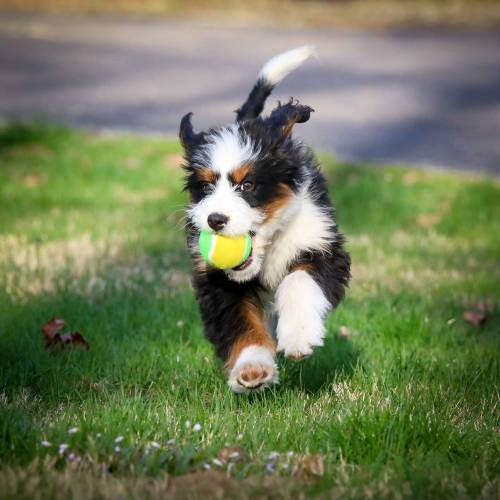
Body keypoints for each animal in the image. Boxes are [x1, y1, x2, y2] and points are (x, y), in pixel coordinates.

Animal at [181, 45, 352, 392]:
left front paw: (298, 335)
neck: (270, 245)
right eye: (205, 187)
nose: (215, 220)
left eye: (247, 185)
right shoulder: (217, 280)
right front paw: (252, 367)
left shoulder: (324, 247)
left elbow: (299, 280)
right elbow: (239, 320)